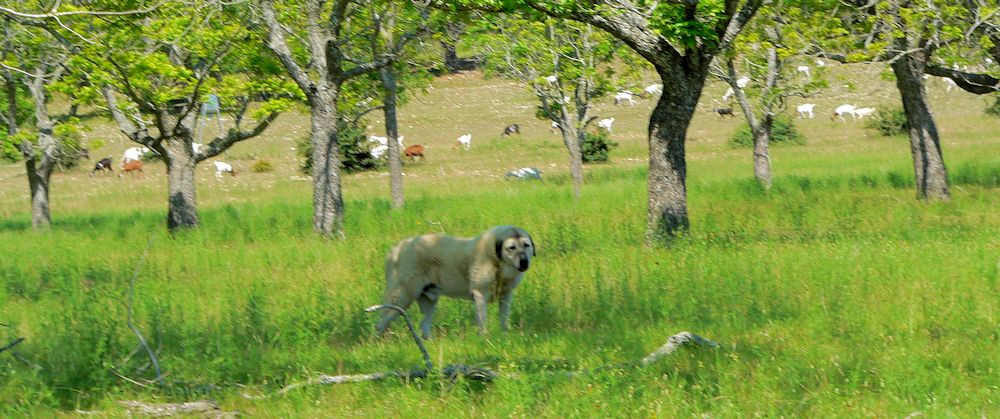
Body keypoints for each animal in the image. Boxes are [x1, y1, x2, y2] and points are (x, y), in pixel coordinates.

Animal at [376, 226, 536, 338]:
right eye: (511, 247)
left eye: (526, 245)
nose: (524, 262)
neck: (498, 262)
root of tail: (396, 249)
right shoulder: (480, 295)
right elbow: (483, 320)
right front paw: (485, 338)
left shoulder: (506, 296)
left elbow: (504, 318)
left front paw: (505, 336)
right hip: (402, 296)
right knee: (381, 321)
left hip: (428, 301)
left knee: (423, 325)